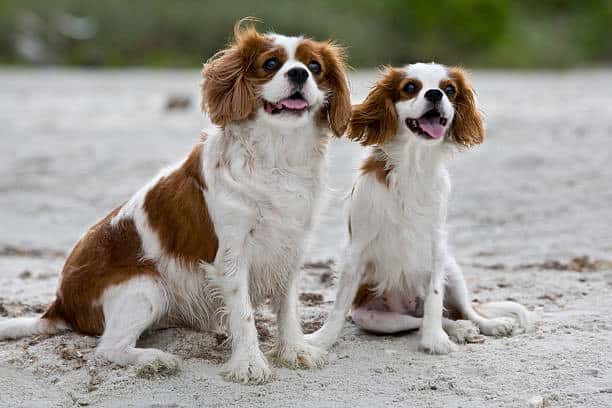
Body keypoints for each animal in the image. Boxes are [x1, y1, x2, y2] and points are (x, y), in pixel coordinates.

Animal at [0, 20, 352, 384]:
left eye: (315, 67)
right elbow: (243, 314)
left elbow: (287, 307)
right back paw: (154, 359)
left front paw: (294, 350)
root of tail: (58, 304)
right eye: (270, 64)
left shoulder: (291, 247)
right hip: (146, 286)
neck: (278, 155)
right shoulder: (232, 255)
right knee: (108, 348)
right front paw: (249, 364)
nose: (299, 74)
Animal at [308, 63, 528, 354]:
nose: (435, 94)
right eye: (410, 87)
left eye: (449, 89)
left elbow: (434, 298)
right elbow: (339, 305)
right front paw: (321, 340)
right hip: (374, 319)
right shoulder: (357, 250)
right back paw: (458, 328)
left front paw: (435, 339)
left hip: (452, 270)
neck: (413, 164)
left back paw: (485, 325)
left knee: (461, 310)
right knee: (416, 321)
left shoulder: (435, 248)